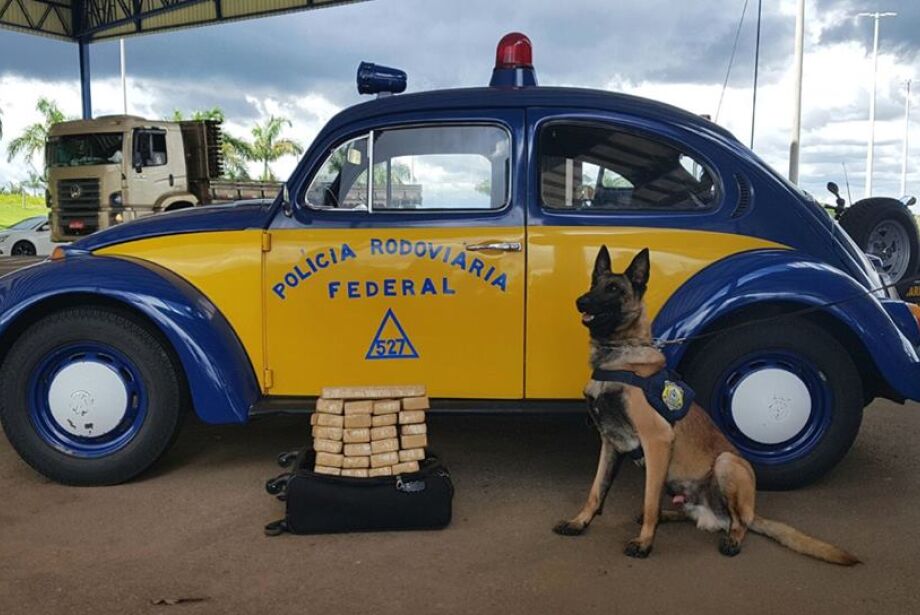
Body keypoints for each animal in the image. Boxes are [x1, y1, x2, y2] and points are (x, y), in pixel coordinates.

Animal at [552, 245, 859, 565]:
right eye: (594, 284)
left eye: (613, 289)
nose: (580, 301)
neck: (619, 355)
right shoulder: (611, 442)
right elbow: (596, 490)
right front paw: (579, 522)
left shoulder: (657, 440)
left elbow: (648, 499)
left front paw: (645, 543)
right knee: (691, 513)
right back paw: (670, 515)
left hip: (727, 464)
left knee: (739, 522)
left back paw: (730, 539)